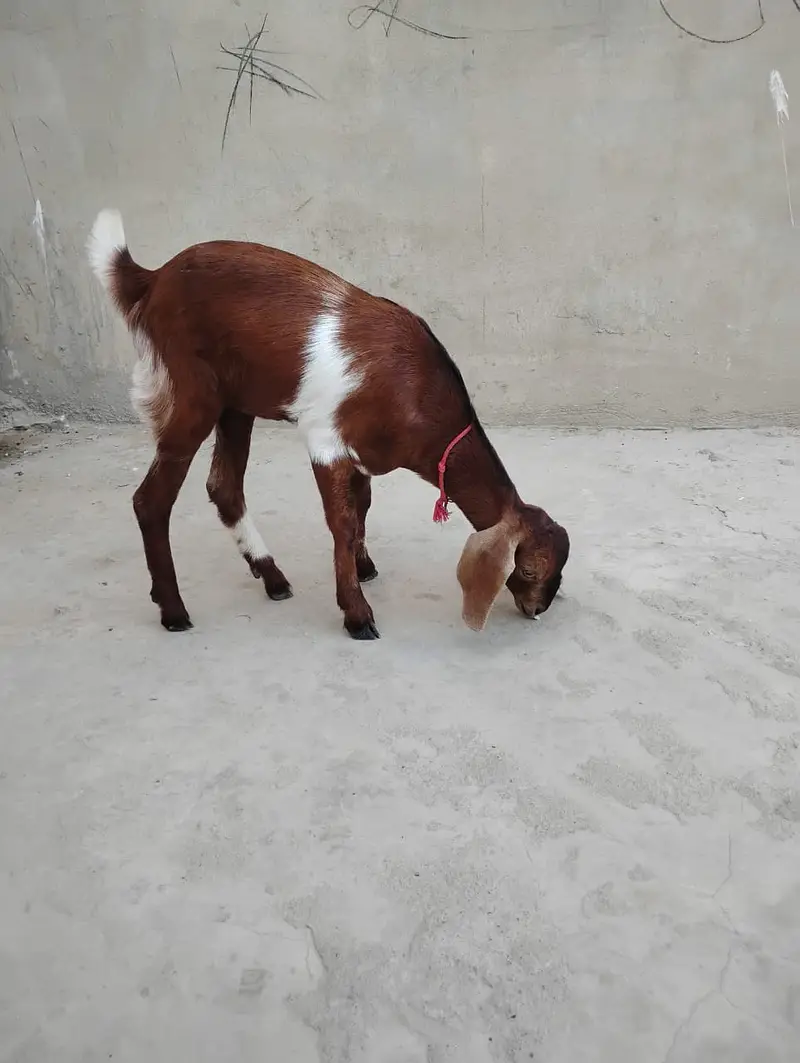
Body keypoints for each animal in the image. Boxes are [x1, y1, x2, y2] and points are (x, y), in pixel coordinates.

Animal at [87, 209, 569, 640]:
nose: (537, 610)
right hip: (191, 393)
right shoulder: (325, 439)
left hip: (236, 405)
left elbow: (363, 506)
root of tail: (152, 279)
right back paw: (174, 610)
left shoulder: (364, 455)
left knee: (224, 488)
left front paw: (364, 565)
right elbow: (342, 522)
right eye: (528, 569)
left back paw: (272, 577)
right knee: (151, 501)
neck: (417, 392)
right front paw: (356, 613)